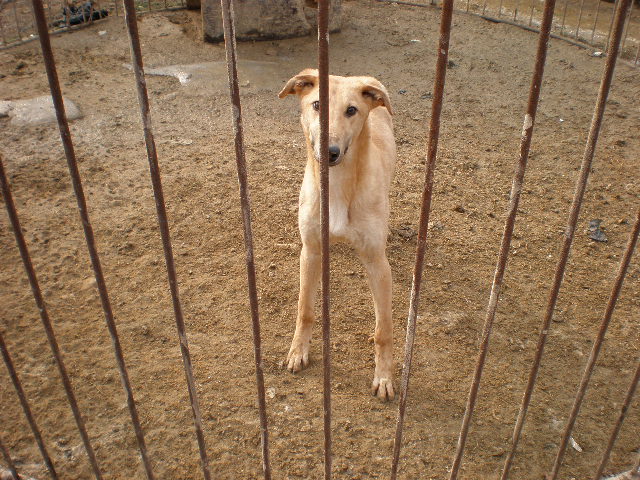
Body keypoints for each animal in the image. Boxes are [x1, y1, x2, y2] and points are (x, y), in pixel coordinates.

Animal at [278, 69, 396, 401]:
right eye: (317, 104)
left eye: (351, 110)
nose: (328, 153)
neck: (338, 186)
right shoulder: (310, 251)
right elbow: (305, 310)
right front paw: (298, 352)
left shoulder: (378, 264)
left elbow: (383, 330)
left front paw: (384, 376)